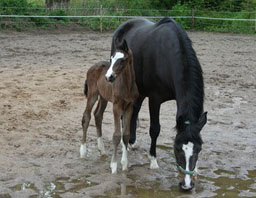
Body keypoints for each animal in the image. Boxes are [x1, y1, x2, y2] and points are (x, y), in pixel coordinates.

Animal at [81, 39, 139, 173]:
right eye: (112, 58)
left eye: (122, 60)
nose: (108, 77)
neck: (127, 86)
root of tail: (92, 67)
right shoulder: (116, 107)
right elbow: (117, 135)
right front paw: (113, 165)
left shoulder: (129, 107)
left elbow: (126, 134)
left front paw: (124, 164)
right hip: (92, 94)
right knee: (86, 116)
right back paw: (83, 151)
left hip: (103, 97)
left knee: (98, 115)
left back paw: (102, 150)